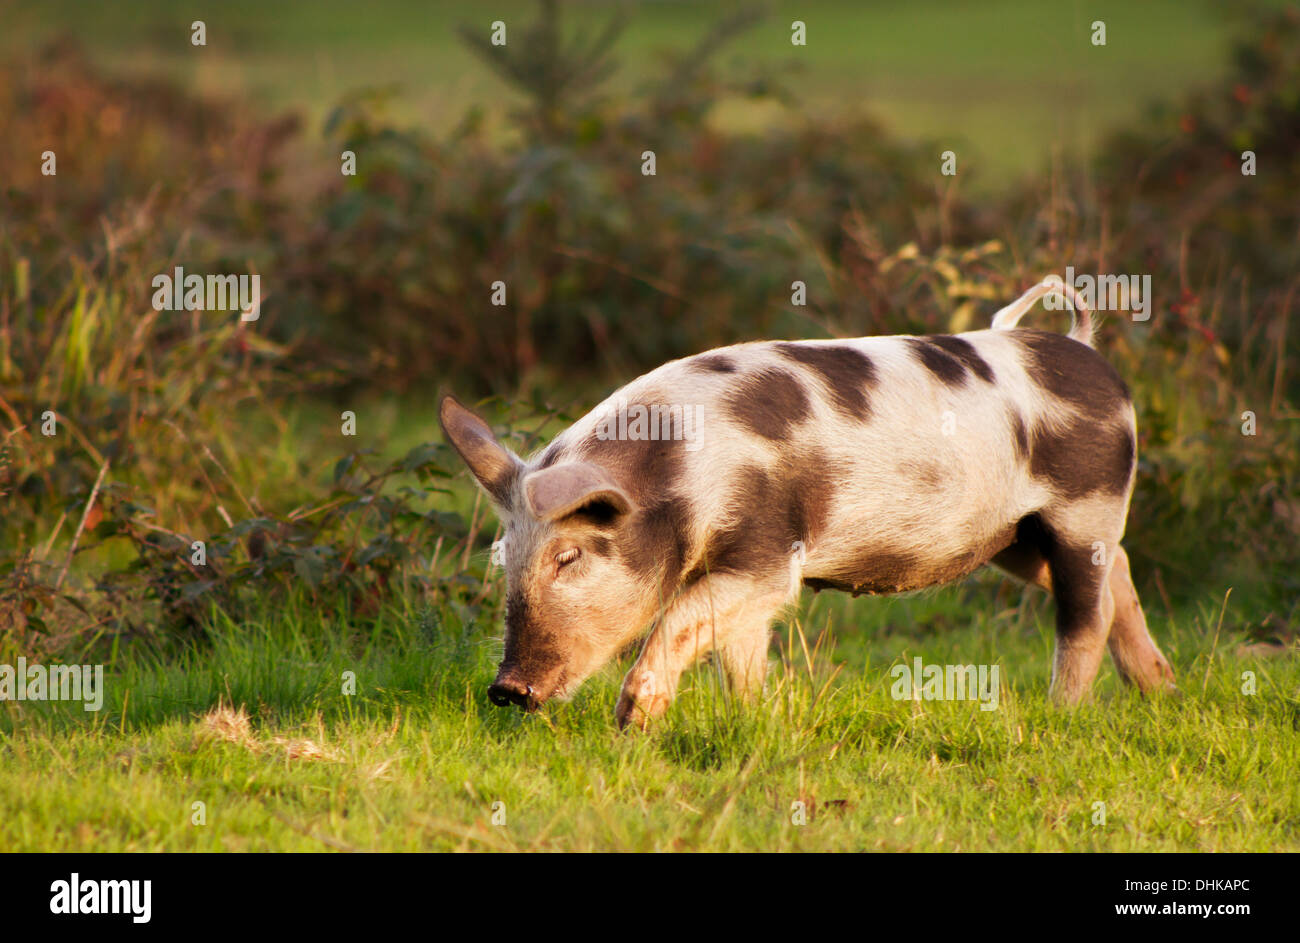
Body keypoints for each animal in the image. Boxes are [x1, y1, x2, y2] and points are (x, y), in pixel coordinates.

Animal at [439, 277, 1176, 729]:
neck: (680, 475)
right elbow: (737, 653)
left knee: (1087, 613)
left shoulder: (769, 551)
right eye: (504, 557)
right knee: (1122, 575)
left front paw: (631, 725)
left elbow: (681, 618)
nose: (506, 689)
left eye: (567, 558)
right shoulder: (743, 578)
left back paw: (1061, 714)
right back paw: (1161, 691)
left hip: (1086, 508)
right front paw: (755, 721)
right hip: (1016, 539)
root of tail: (1085, 349)